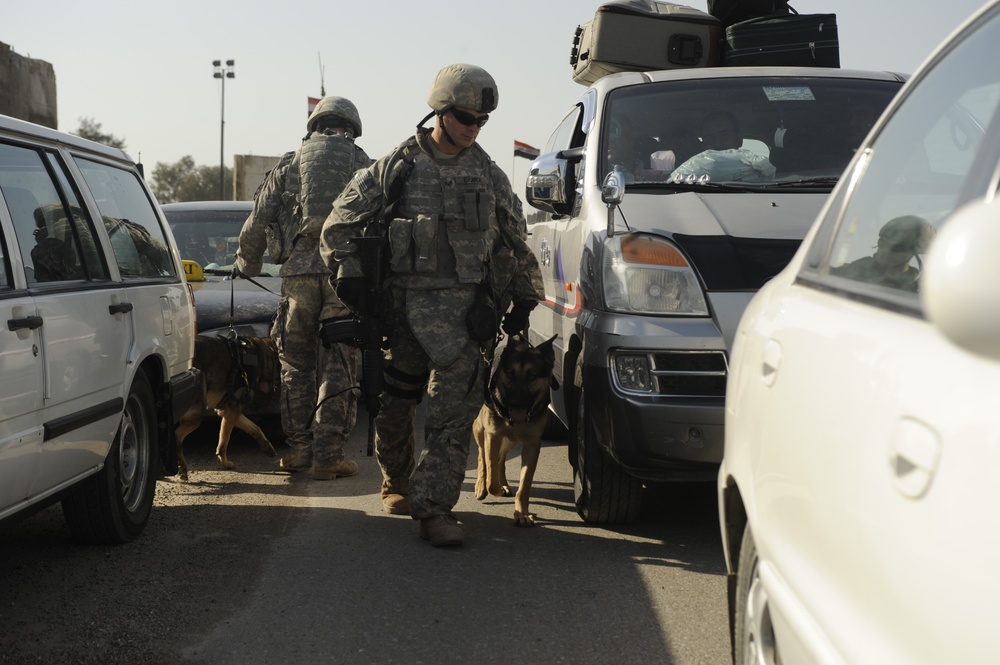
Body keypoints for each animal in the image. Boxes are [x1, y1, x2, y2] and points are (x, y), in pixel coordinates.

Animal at [175, 334, 282, 480]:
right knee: (176, 436)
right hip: (197, 413)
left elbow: (254, 427)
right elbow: (223, 442)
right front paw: (224, 464)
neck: (259, 355)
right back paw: (182, 467)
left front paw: (266, 445)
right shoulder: (232, 409)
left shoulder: (229, 410)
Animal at [472, 334, 560, 528]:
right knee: (482, 456)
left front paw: (522, 514)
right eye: (510, 374)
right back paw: (481, 486)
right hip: (480, 429)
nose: (515, 403)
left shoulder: (532, 445)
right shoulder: (493, 435)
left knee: (500, 459)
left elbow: (524, 485)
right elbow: (491, 475)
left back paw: (503, 483)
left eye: (532, 376)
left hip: (510, 441)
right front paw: (494, 488)